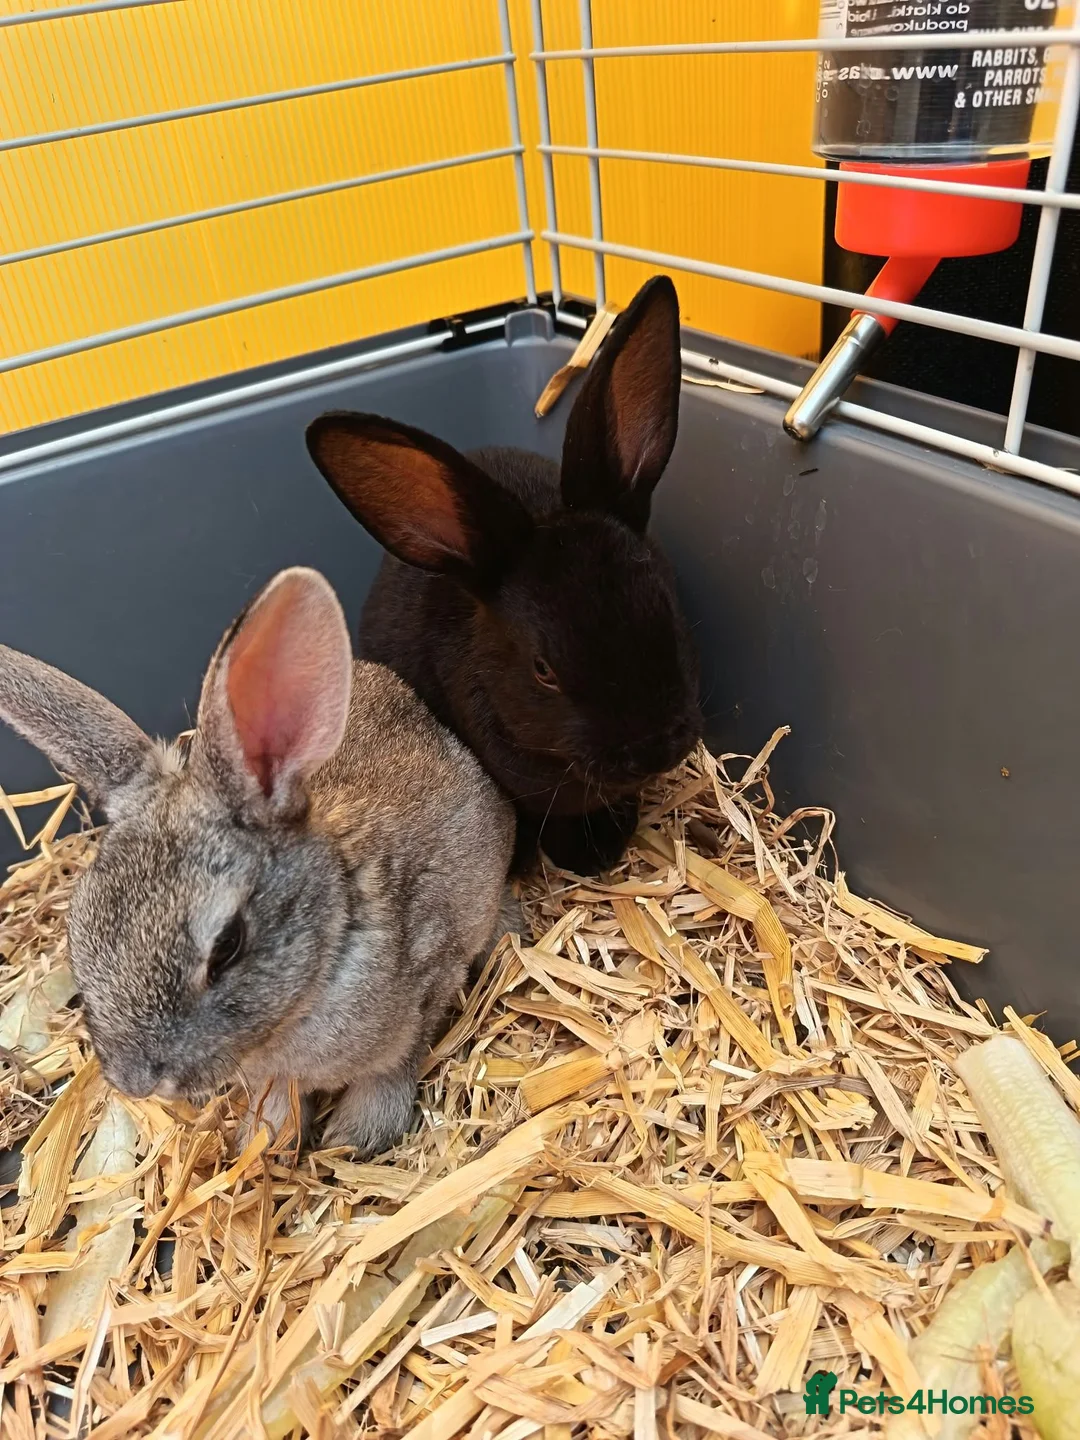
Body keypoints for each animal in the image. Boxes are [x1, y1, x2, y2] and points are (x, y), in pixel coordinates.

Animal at [0, 567, 515, 1157]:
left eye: (227, 945)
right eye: (77, 929)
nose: (133, 1081)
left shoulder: (434, 975)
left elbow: (395, 1065)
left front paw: (356, 1138)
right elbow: (278, 1100)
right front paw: (263, 1140)